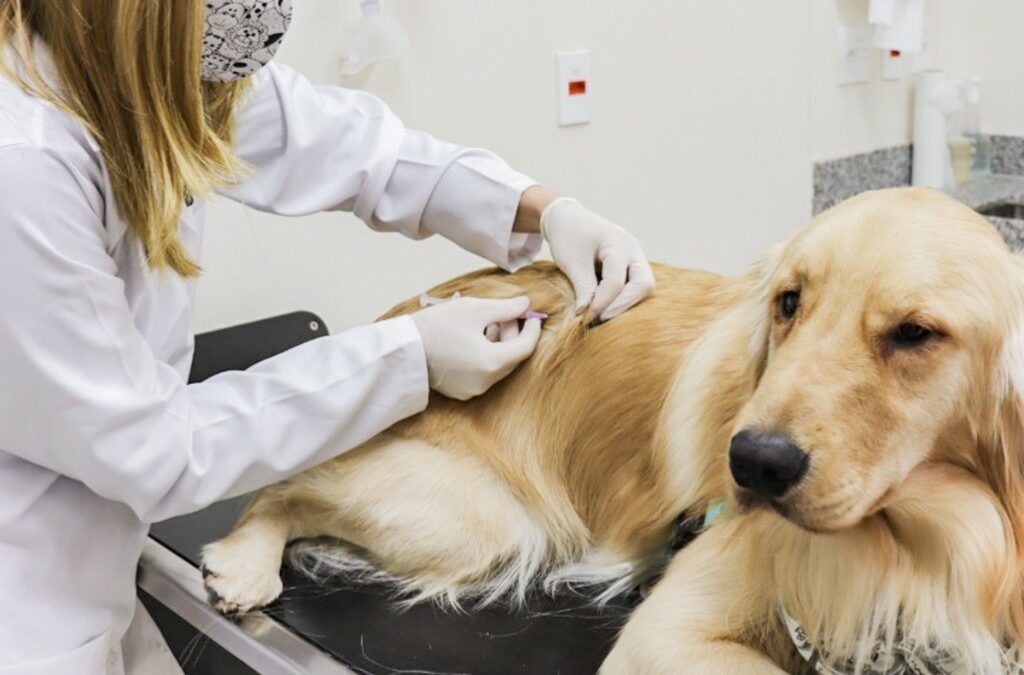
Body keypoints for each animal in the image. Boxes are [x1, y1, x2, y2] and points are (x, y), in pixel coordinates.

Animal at [199, 188, 1024, 675]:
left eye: (915, 333)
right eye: (789, 301)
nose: (751, 463)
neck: (928, 538)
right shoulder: (667, 635)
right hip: (477, 516)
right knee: (283, 483)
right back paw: (243, 559)